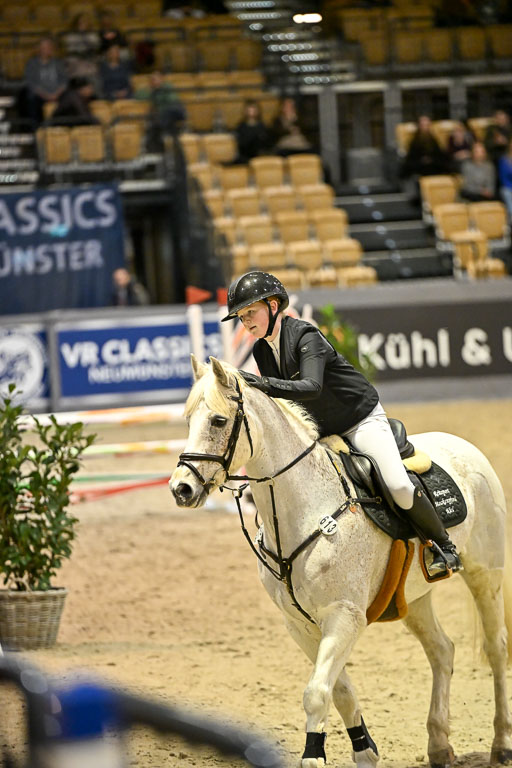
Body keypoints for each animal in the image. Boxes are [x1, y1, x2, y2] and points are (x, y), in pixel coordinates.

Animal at [169, 356, 512, 768]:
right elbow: (340, 690)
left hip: (485, 574)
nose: (181, 489)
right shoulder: (300, 624)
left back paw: (501, 744)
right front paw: (364, 749)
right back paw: (439, 746)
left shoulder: (344, 616)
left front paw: (313, 756)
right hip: (413, 597)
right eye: (189, 420)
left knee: (496, 649)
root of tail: (461, 443)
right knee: (442, 651)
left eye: (219, 421)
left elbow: (317, 692)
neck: (304, 508)